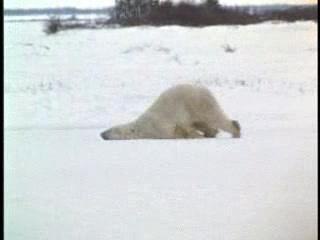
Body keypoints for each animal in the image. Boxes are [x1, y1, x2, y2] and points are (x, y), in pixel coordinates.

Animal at [100, 84, 240, 141]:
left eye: (110, 130)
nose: (101, 133)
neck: (142, 128)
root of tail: (202, 88)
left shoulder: (160, 126)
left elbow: (177, 131)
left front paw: (194, 136)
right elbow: (184, 129)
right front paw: (196, 135)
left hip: (197, 102)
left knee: (213, 116)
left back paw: (235, 131)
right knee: (203, 123)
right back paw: (210, 133)